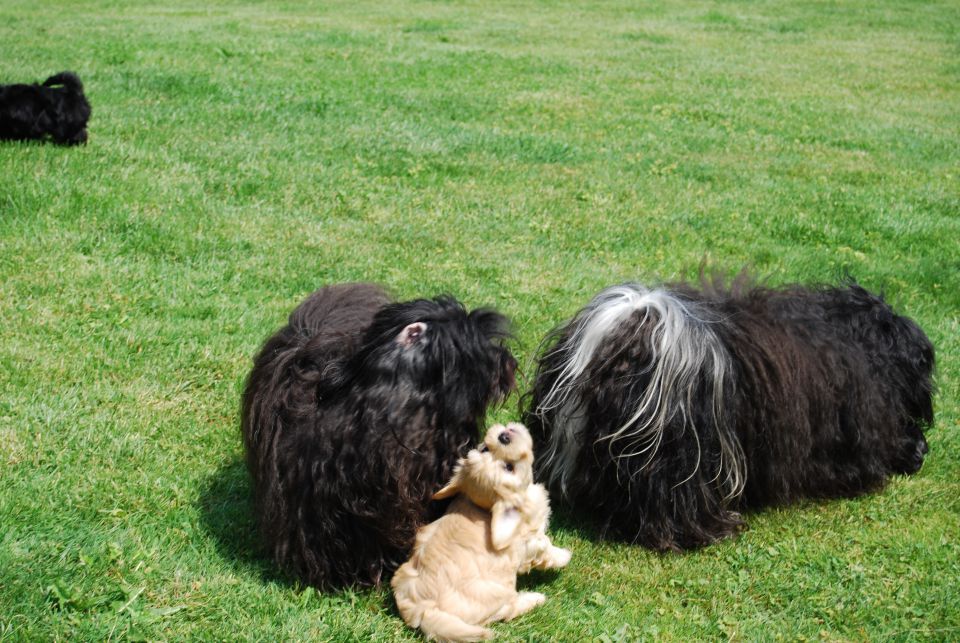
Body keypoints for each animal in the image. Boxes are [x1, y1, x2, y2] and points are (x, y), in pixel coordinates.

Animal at [392, 426, 568, 640]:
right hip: (498, 593)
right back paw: (534, 598)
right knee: (507, 611)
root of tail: (423, 610)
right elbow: (546, 548)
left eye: (485, 449)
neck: (486, 509)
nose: (504, 436)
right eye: (509, 467)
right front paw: (564, 556)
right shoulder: (530, 541)